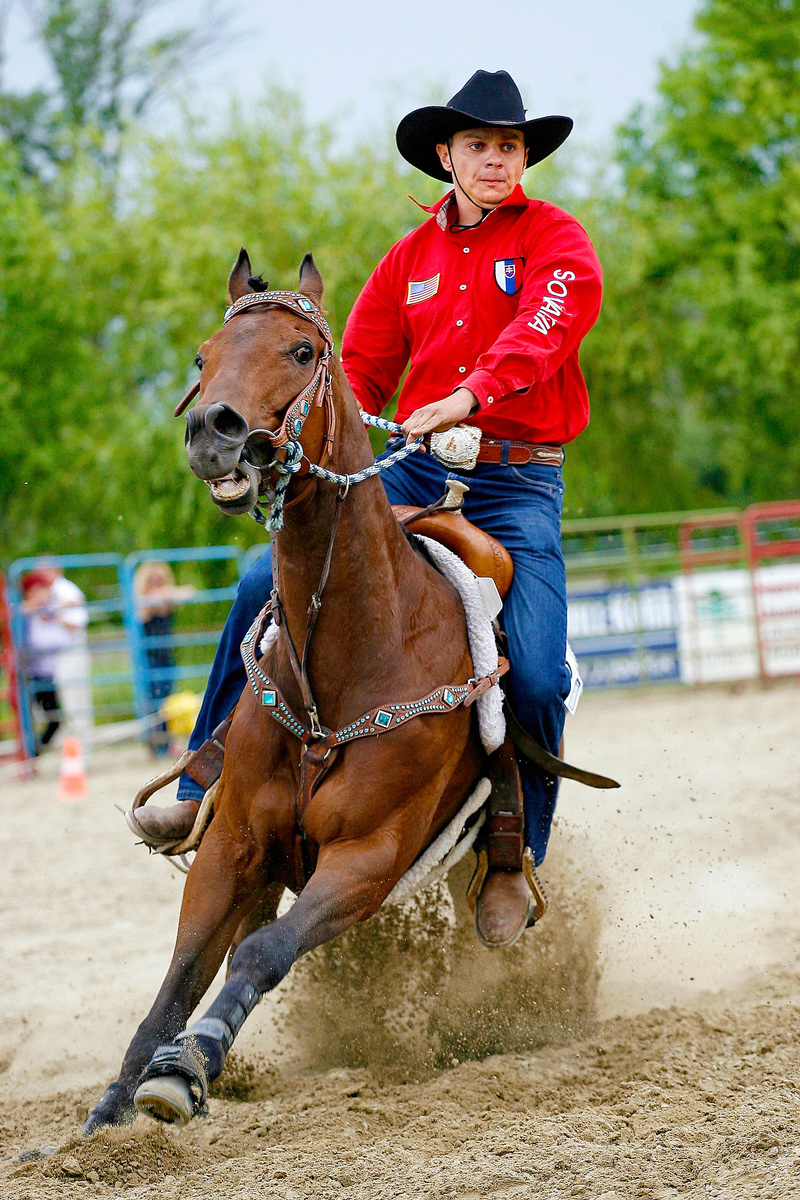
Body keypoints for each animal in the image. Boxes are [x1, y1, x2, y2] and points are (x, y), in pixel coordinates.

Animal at [84, 250, 496, 1132]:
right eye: (203, 356)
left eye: (303, 352)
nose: (213, 430)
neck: (349, 663)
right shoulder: (235, 844)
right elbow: (182, 973)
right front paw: (111, 1112)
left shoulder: (368, 859)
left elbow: (261, 952)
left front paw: (188, 1067)